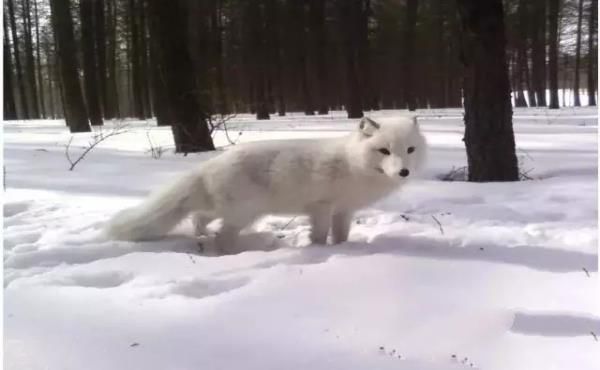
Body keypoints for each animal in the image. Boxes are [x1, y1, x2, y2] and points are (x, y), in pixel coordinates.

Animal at [106, 117, 426, 253]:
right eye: (384, 151)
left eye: (410, 150)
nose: (404, 172)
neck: (353, 165)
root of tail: (208, 165)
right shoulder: (321, 208)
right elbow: (320, 236)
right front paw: (319, 251)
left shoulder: (344, 211)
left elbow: (341, 236)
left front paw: (344, 249)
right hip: (244, 214)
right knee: (221, 236)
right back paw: (230, 253)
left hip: (229, 211)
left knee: (199, 218)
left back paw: (202, 237)